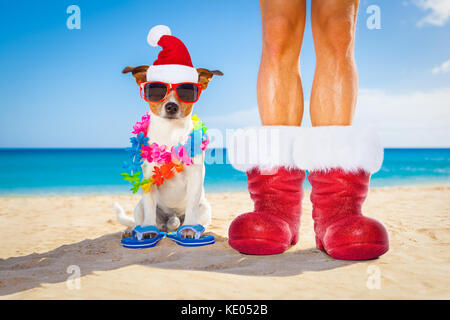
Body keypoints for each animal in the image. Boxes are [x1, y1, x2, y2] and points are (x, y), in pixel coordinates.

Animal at [115, 66, 222, 239]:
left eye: (187, 91)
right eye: (156, 90)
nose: (171, 106)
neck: (170, 133)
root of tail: (170, 221)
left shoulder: (195, 176)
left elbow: (191, 205)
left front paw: (189, 229)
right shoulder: (149, 178)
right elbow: (150, 208)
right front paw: (148, 229)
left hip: (205, 208)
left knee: (201, 221)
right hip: (139, 207)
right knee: (141, 220)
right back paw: (132, 230)